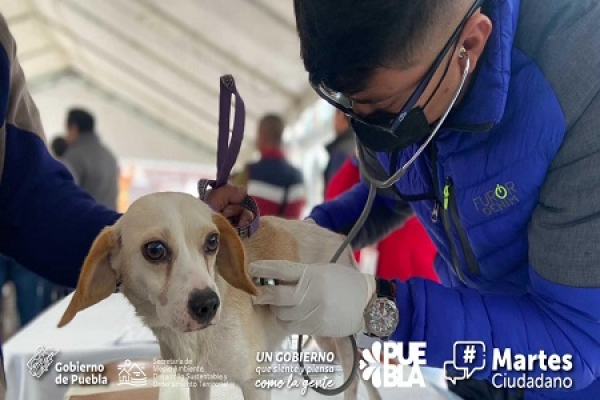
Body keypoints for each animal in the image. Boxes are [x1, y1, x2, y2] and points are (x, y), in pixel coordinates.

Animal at [56, 192, 380, 398]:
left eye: (213, 242)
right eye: (155, 250)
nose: (208, 305)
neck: (196, 341)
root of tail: (340, 239)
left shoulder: (256, 381)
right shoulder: (199, 383)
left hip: (341, 339)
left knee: (355, 378)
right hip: (324, 337)